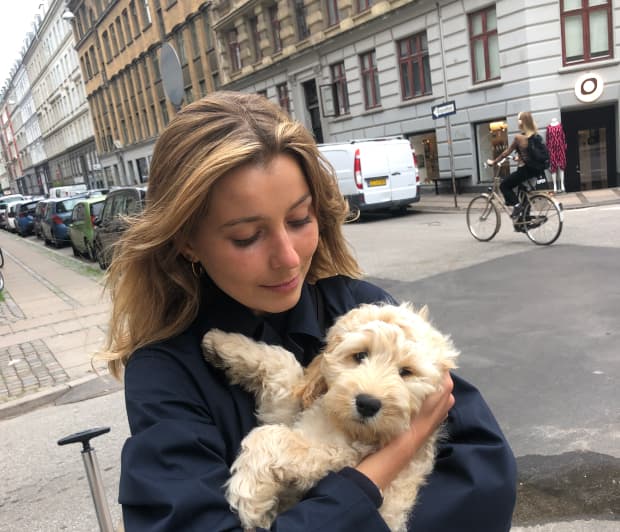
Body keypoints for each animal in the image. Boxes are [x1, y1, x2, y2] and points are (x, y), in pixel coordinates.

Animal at [201, 302, 458, 528]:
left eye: (406, 372)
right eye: (360, 355)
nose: (367, 404)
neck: (342, 423)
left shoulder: (340, 455)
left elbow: (274, 438)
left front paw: (249, 498)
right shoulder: (291, 411)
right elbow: (282, 364)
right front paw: (222, 344)